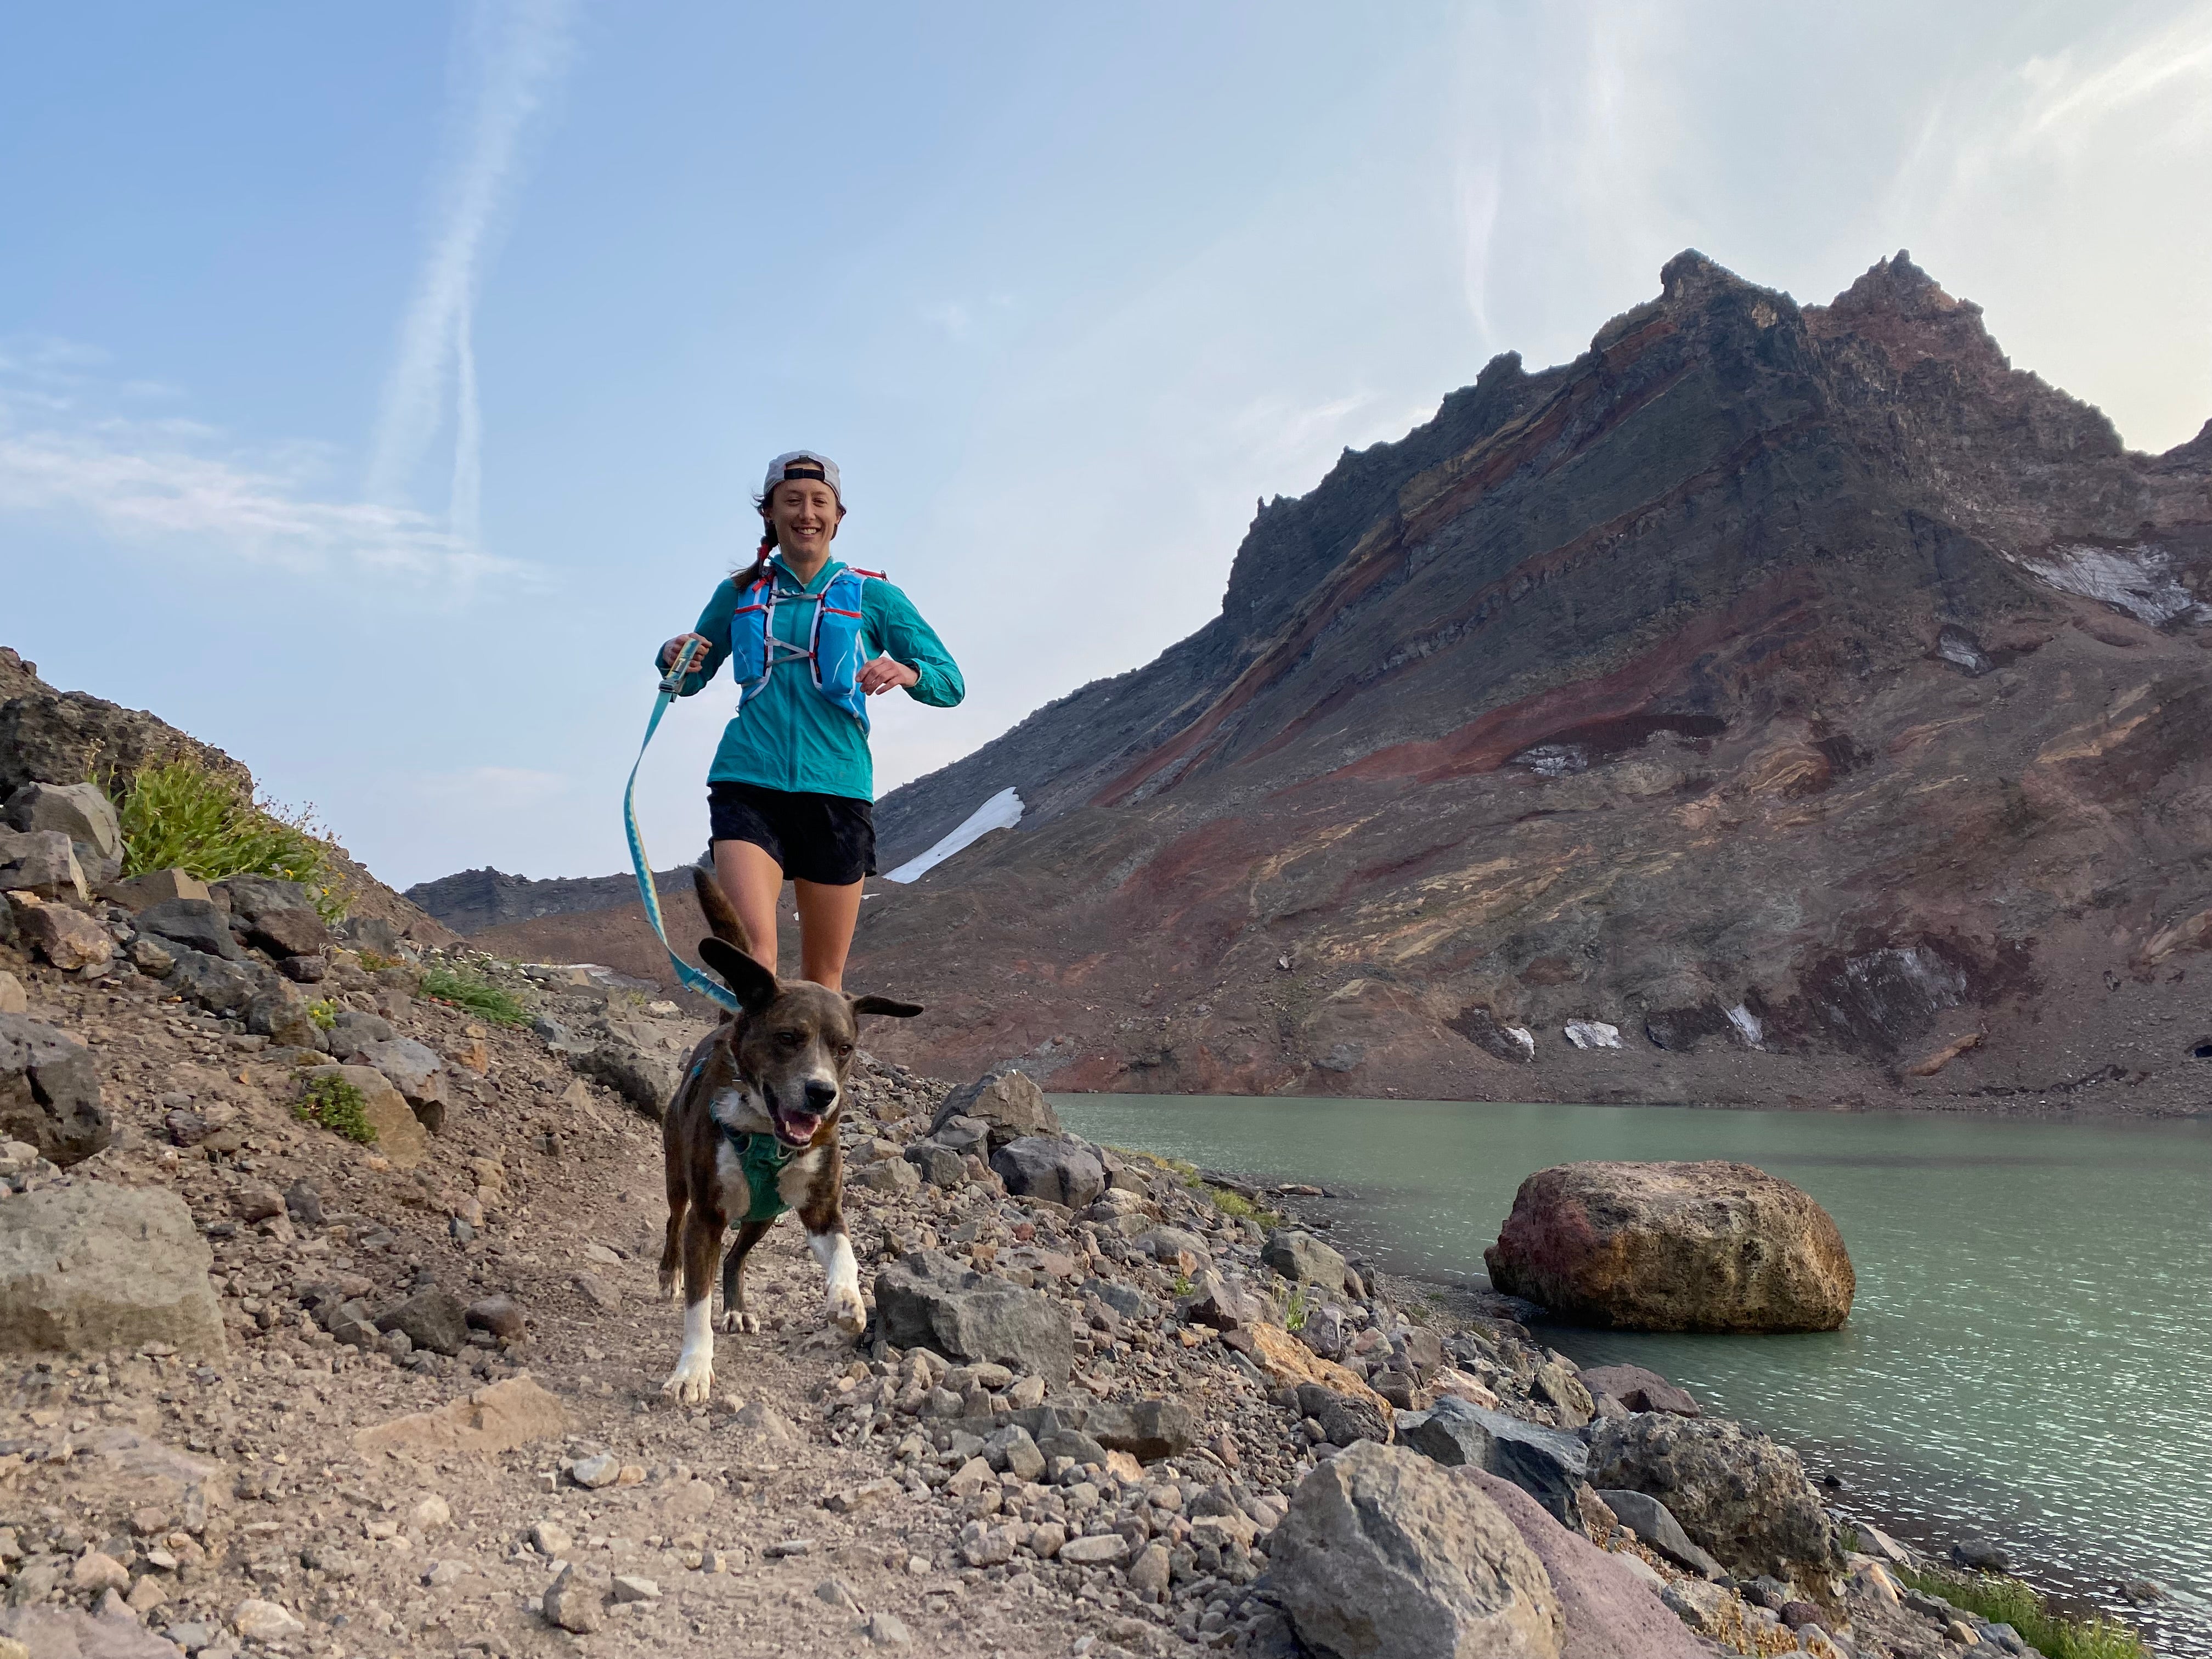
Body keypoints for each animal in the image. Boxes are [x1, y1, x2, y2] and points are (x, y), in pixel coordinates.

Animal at [654, 862, 916, 1407]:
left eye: (844, 1047)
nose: (822, 1094)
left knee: (737, 1258)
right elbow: (697, 1304)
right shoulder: (707, 1217)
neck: (765, 1131)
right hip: (679, 1177)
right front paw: (693, 1368)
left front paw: (847, 1300)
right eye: (788, 1037)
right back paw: (669, 1274)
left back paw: (736, 1307)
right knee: (673, 1220)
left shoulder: (820, 1208)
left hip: (763, 1214)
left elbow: (845, 1254)